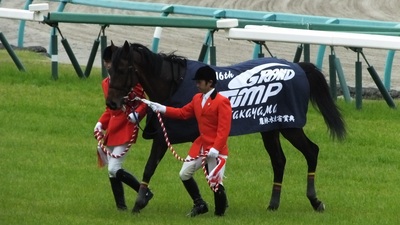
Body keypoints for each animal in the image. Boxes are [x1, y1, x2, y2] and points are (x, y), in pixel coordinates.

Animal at [107, 40, 346, 213]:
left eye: (122, 69)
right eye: (110, 70)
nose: (111, 103)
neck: (175, 84)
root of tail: (298, 66)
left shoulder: (182, 136)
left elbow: (193, 167)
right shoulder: (165, 135)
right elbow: (154, 167)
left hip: (290, 127)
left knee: (311, 151)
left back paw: (315, 200)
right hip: (270, 128)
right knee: (279, 161)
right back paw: (273, 203)